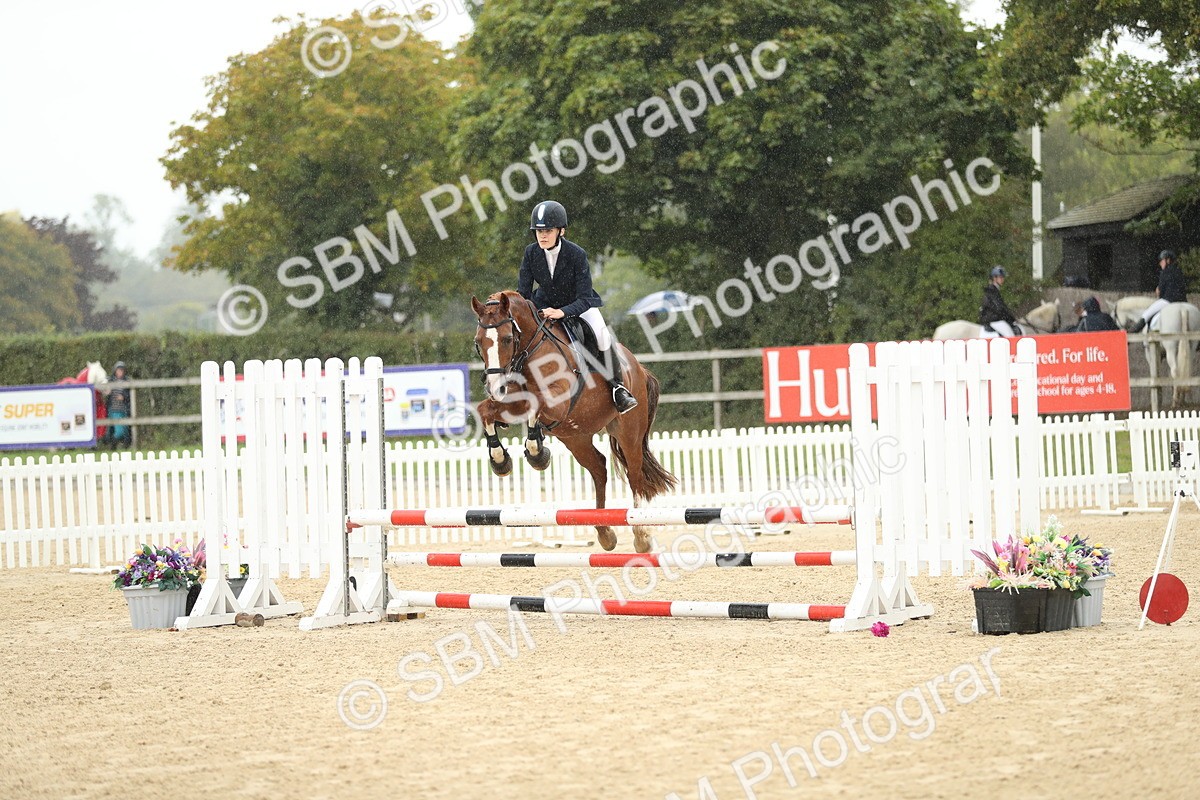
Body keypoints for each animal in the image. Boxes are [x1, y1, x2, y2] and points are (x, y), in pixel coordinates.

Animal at [471, 291, 677, 553]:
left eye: (507, 339)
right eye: (478, 342)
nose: (495, 388)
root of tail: (638, 368)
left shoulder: (557, 402)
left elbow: (536, 404)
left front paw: (537, 452)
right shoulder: (512, 403)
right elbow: (485, 411)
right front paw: (500, 459)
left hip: (628, 431)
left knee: (634, 475)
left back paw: (641, 535)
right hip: (576, 437)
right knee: (599, 468)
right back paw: (604, 533)